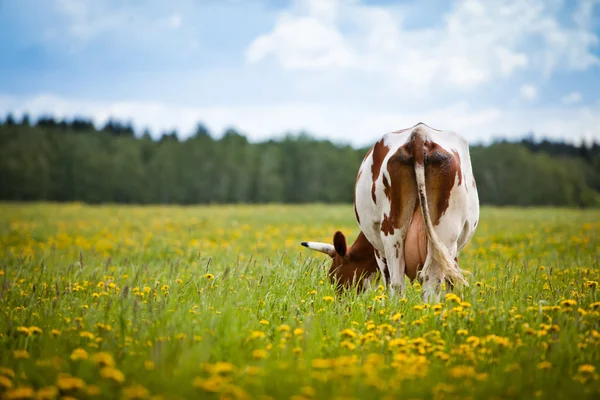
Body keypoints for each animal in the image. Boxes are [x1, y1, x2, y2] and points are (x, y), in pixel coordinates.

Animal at [302, 123, 480, 302]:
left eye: (335, 278)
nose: (342, 303)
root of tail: (419, 134)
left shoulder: (378, 248)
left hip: (397, 232)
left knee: (400, 282)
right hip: (439, 233)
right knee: (420, 282)